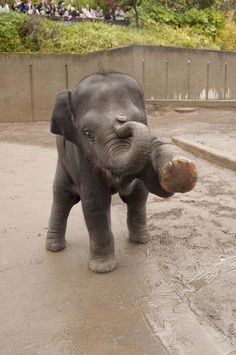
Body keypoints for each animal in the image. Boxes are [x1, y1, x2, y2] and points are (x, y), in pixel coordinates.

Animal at [46, 71, 197, 272]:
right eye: (87, 133)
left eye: (142, 120)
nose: (121, 120)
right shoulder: (81, 157)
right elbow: (95, 201)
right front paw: (102, 269)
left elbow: (148, 186)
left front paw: (179, 167)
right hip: (63, 164)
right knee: (63, 197)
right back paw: (54, 248)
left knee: (138, 196)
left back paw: (141, 241)